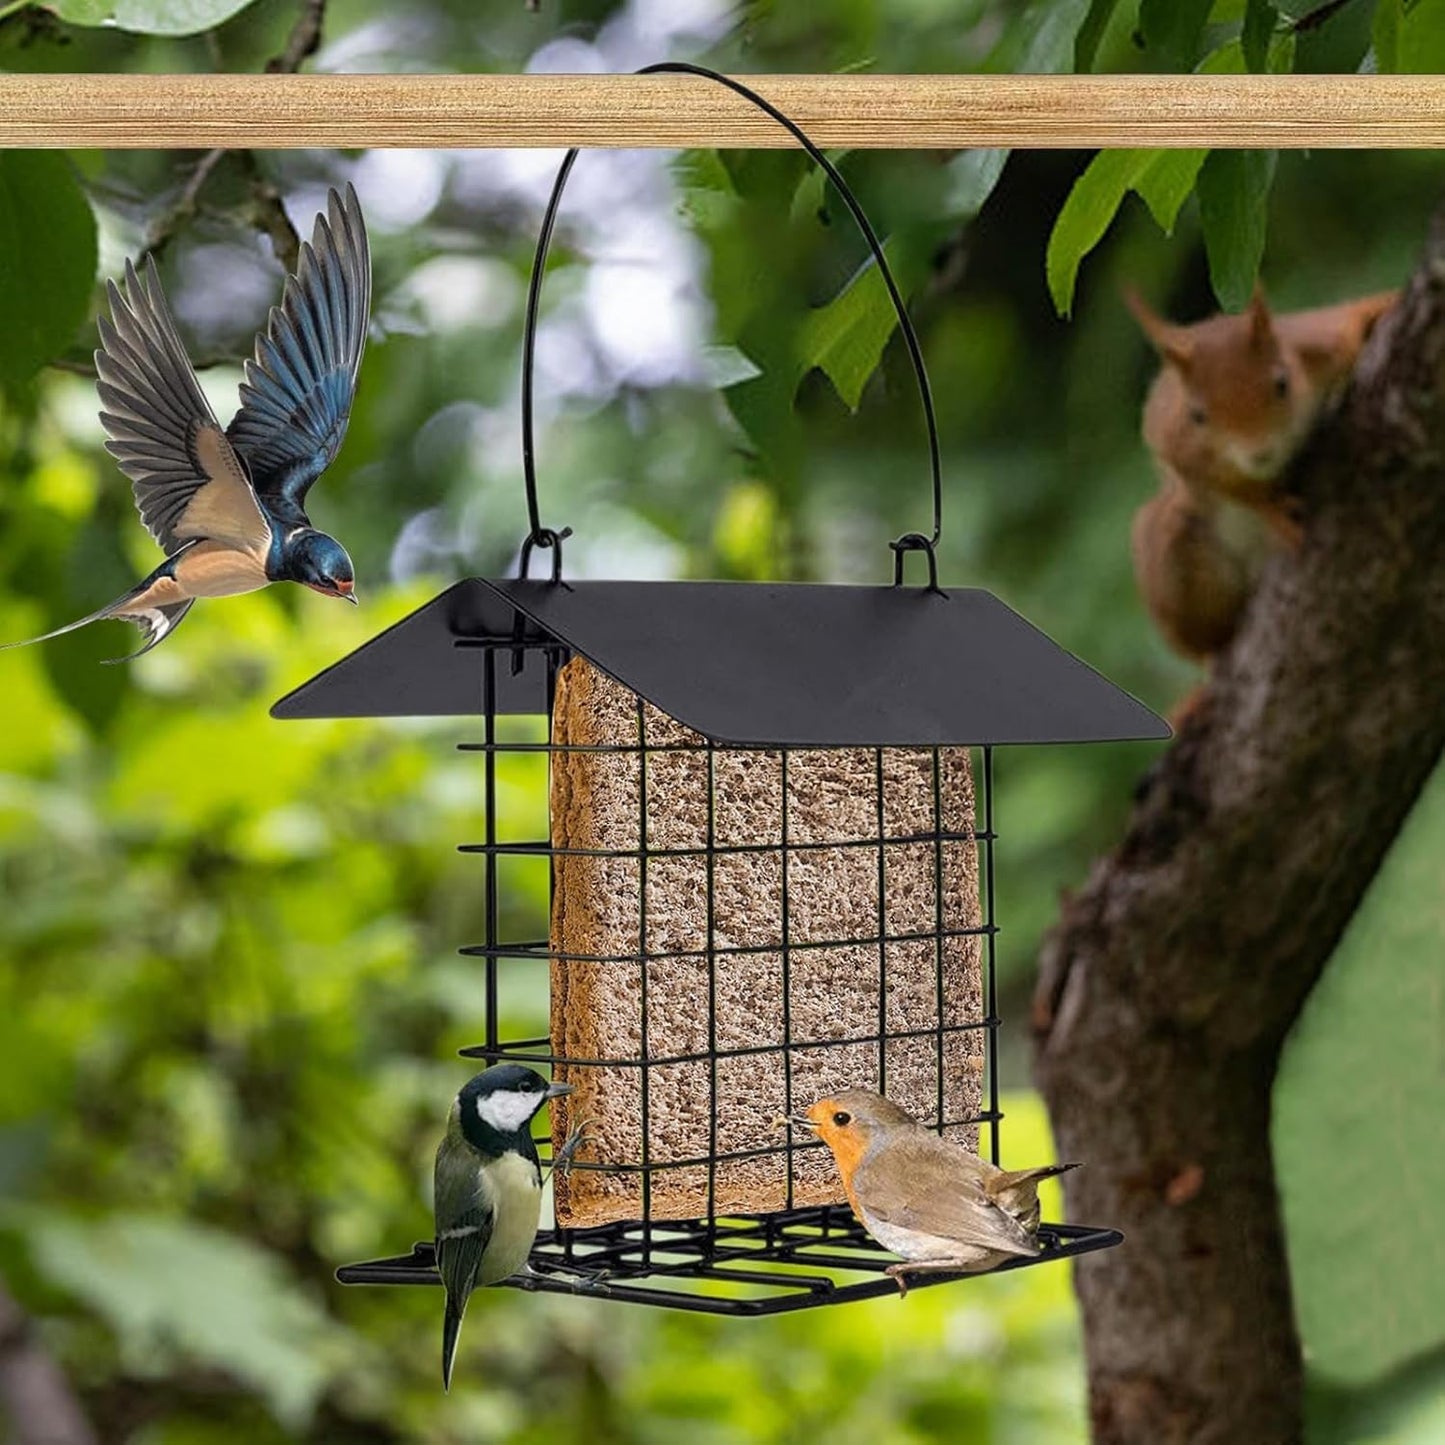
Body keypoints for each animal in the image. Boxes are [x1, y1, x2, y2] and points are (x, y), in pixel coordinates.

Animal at [1128, 284, 1397, 664]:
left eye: (1282, 384)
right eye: (1197, 416)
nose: (1259, 454)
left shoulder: (1321, 343)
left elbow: (1353, 318)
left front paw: (1389, 302)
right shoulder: (1176, 445)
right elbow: (1221, 484)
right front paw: (1271, 510)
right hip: (1171, 557)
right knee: (1202, 639)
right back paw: (1212, 655)